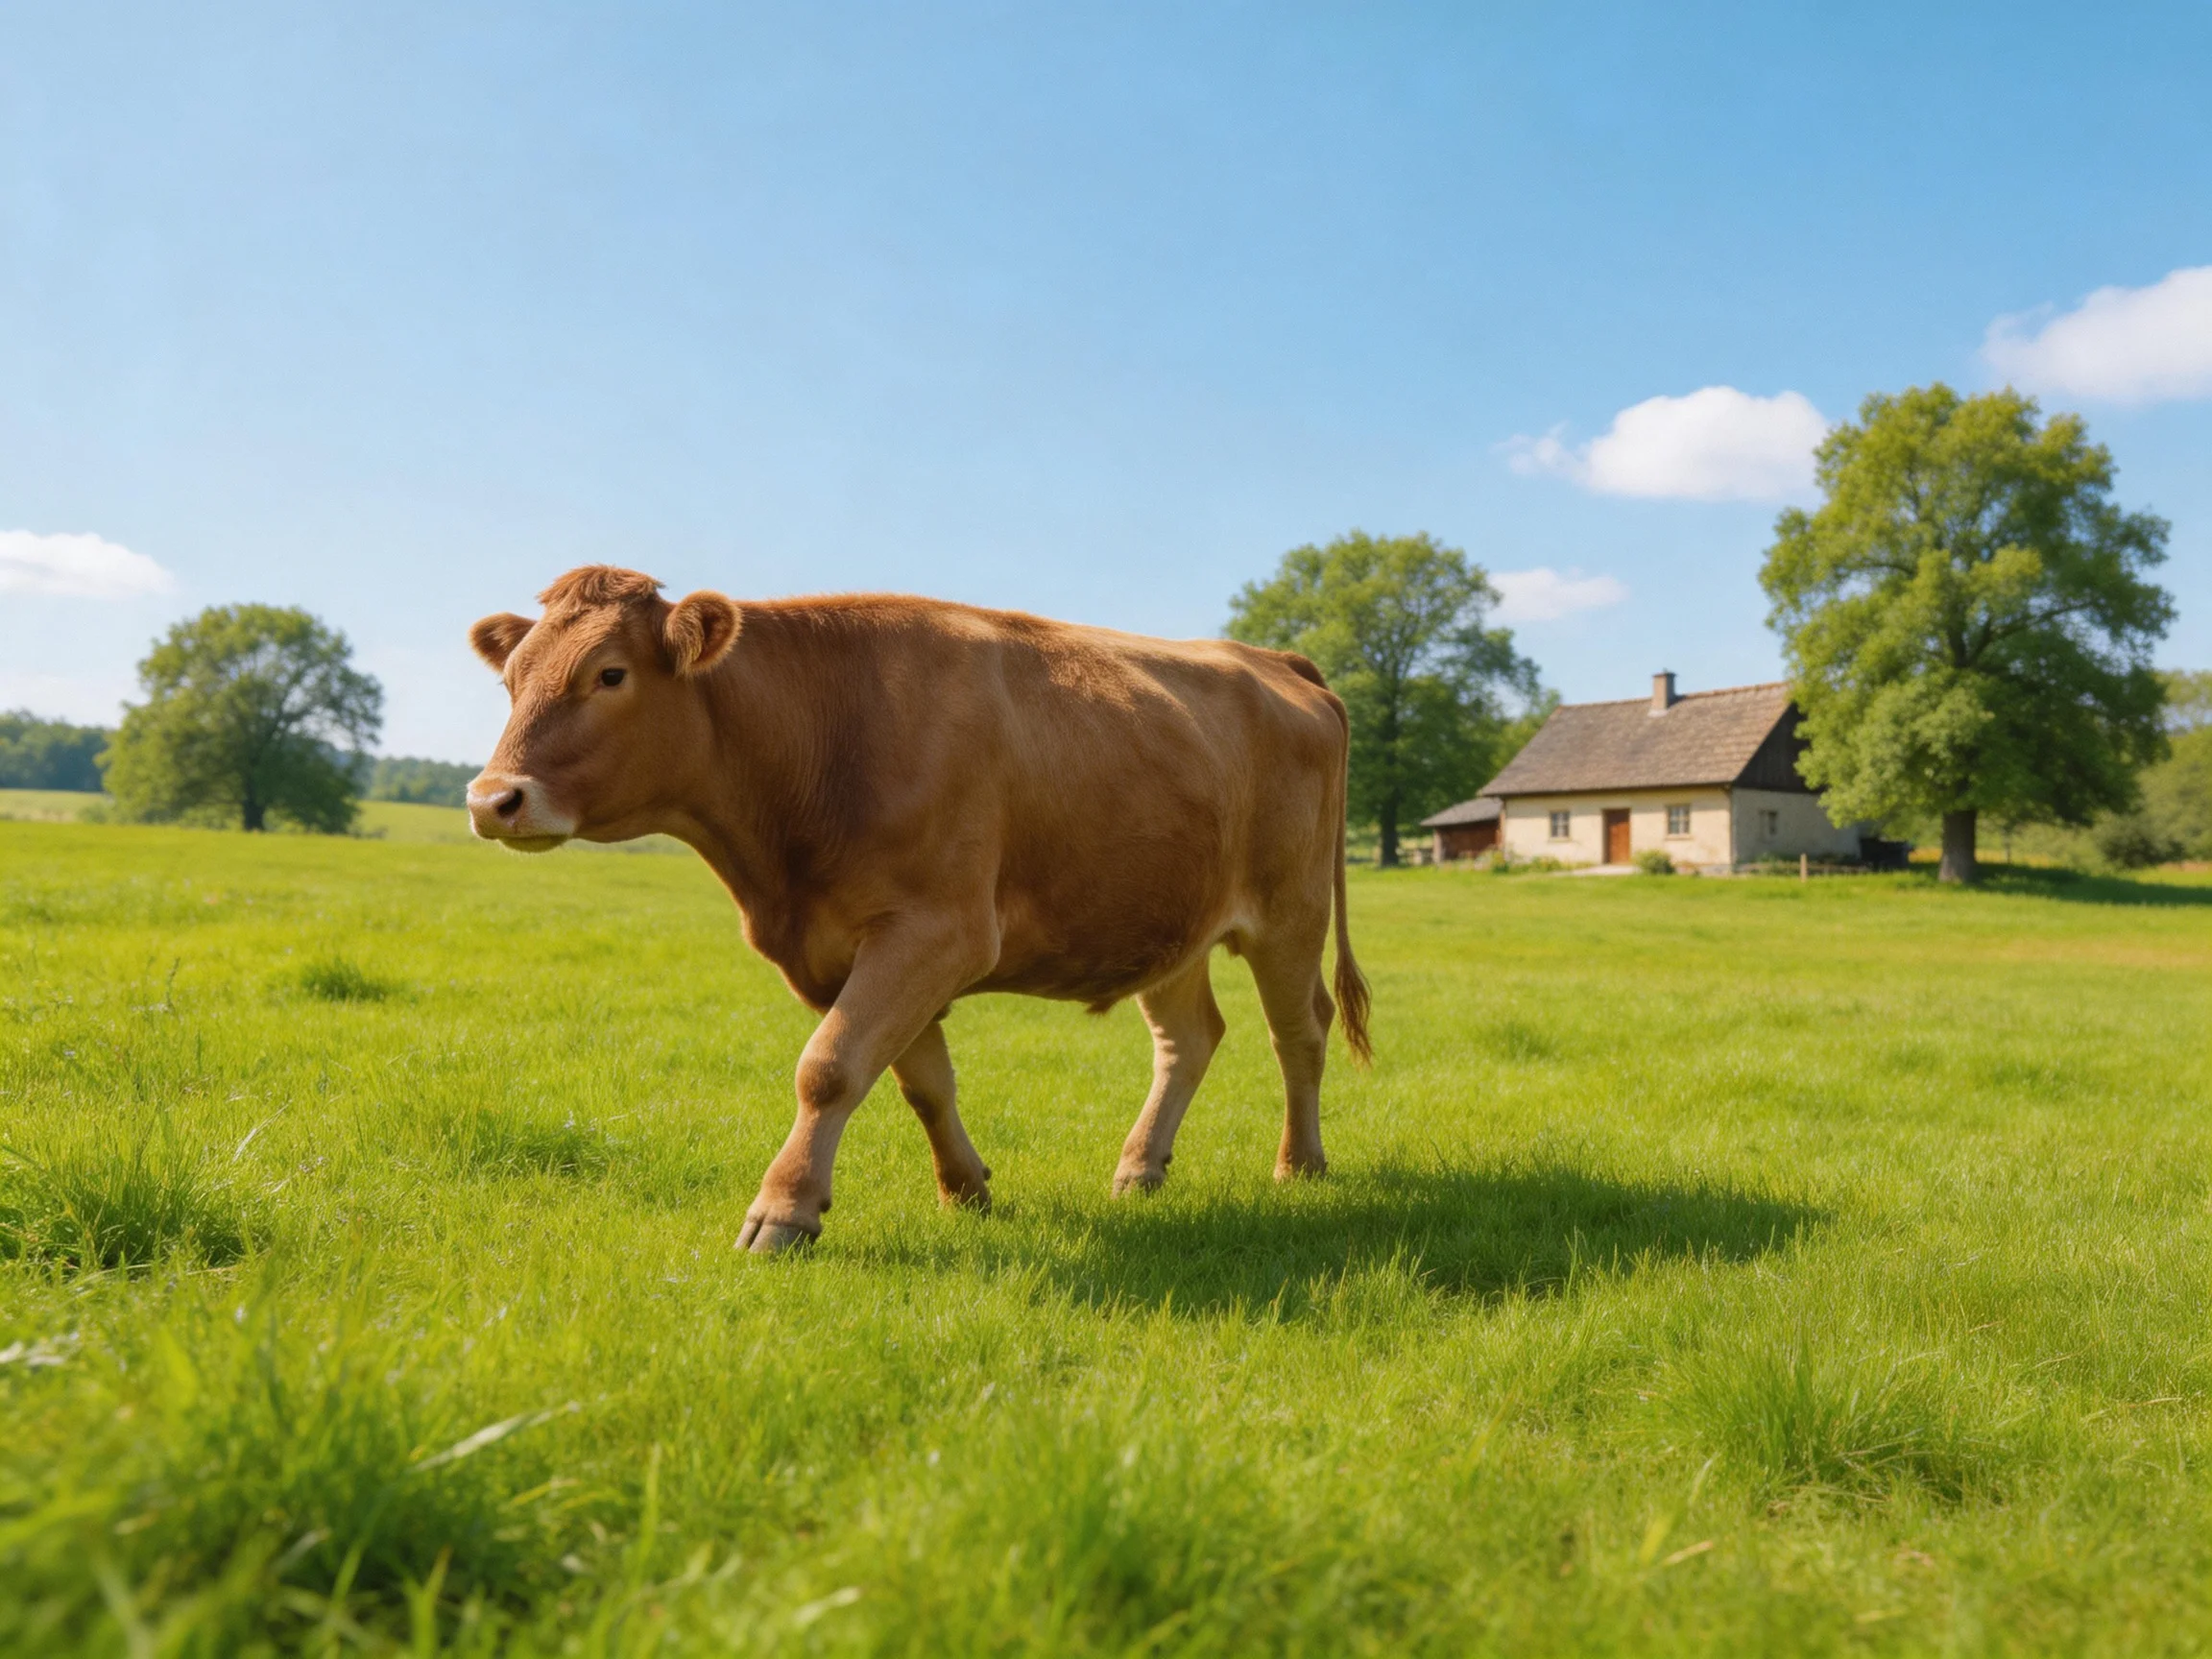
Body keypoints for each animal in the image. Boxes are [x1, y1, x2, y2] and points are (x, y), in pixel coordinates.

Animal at [465, 566, 1370, 1253]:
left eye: (610, 673)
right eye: (510, 683)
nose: (491, 799)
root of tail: (1272, 659)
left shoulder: (938, 932)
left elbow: (829, 1066)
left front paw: (783, 1211)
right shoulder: (840, 949)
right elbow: (918, 1079)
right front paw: (967, 1190)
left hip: (1290, 914)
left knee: (1300, 1031)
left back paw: (1300, 1163)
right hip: (1168, 921)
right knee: (1189, 1038)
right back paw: (1139, 1169)